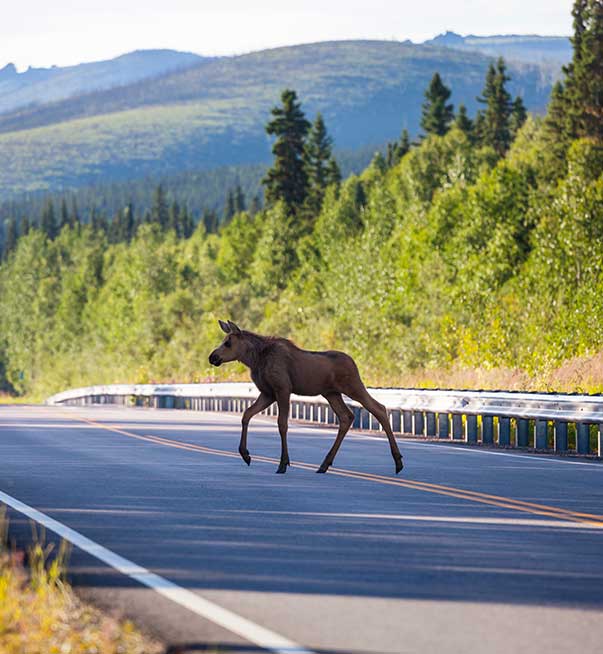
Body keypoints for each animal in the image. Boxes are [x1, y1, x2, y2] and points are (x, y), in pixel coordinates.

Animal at [208, 320, 404, 475]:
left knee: (379, 408)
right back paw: (324, 464)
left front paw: (283, 463)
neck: (255, 359)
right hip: (331, 393)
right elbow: (246, 415)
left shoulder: (282, 389)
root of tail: (354, 363)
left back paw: (398, 462)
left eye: (228, 342)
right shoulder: (267, 393)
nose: (212, 357)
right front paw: (245, 454)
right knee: (346, 416)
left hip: (353, 386)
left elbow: (282, 424)